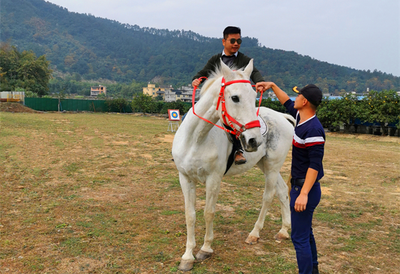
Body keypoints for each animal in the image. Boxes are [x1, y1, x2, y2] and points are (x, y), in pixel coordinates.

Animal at [171, 60, 294, 272]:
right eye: (235, 98)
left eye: (254, 96)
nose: (253, 140)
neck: (196, 140)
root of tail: (282, 117)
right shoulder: (185, 178)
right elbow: (190, 215)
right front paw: (187, 257)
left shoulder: (213, 179)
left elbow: (209, 212)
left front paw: (205, 249)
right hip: (266, 165)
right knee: (282, 191)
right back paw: (284, 230)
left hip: (272, 167)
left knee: (268, 196)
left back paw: (254, 233)